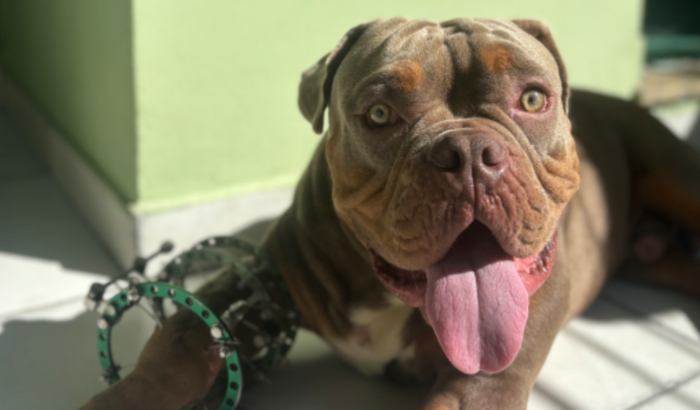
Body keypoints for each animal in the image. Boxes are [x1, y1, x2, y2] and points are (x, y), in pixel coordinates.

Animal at [80, 18, 700, 410]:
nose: (471, 154)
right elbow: (178, 345)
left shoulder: (482, 385)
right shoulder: (253, 283)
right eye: (379, 113)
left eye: (531, 99)